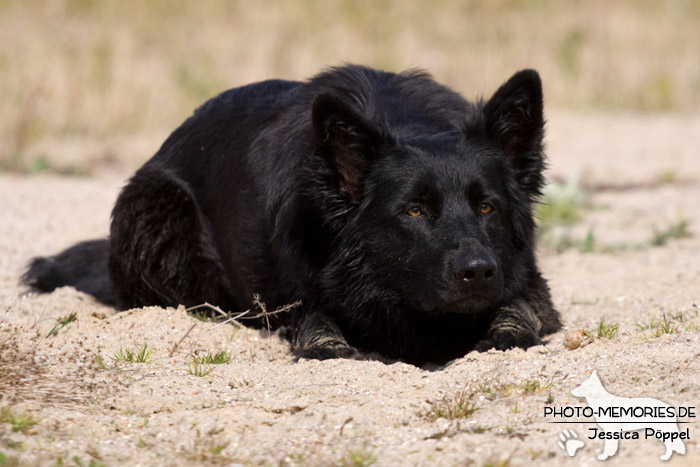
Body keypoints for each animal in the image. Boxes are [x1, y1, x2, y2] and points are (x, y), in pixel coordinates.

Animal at [24, 65, 564, 366]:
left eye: (487, 206)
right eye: (414, 210)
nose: (478, 271)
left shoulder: (527, 282)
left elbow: (519, 310)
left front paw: (506, 332)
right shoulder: (297, 291)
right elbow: (316, 323)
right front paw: (331, 344)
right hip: (158, 211)